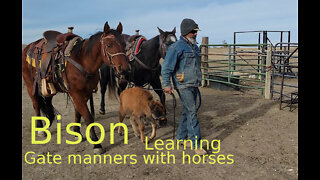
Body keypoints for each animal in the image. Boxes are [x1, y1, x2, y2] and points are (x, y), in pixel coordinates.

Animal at [22, 21, 130, 153]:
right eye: (109, 45)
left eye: (124, 44)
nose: (124, 69)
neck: (82, 61)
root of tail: (28, 47)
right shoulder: (76, 93)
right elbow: (87, 116)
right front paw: (96, 144)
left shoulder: (86, 92)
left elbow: (78, 112)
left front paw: (76, 133)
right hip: (29, 84)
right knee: (36, 104)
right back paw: (40, 129)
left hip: (48, 86)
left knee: (47, 101)